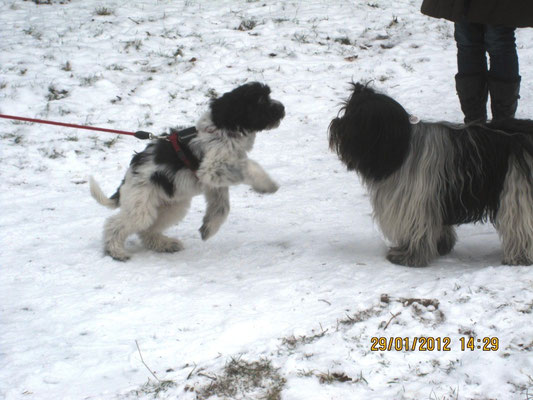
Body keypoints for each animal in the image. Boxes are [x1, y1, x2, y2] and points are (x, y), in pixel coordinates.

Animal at [89, 83, 284, 260]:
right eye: (261, 100)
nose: (282, 108)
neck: (223, 129)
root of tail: (127, 179)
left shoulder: (214, 183)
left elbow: (221, 207)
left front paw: (208, 229)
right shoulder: (213, 168)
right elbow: (248, 166)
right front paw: (267, 184)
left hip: (170, 206)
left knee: (147, 231)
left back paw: (165, 244)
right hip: (141, 206)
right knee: (115, 225)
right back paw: (115, 251)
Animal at [328, 82, 532, 268]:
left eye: (354, 116)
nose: (335, 125)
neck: (402, 147)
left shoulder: (416, 199)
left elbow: (417, 228)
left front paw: (407, 255)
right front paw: (441, 245)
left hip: (517, 188)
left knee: (519, 223)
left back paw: (519, 256)